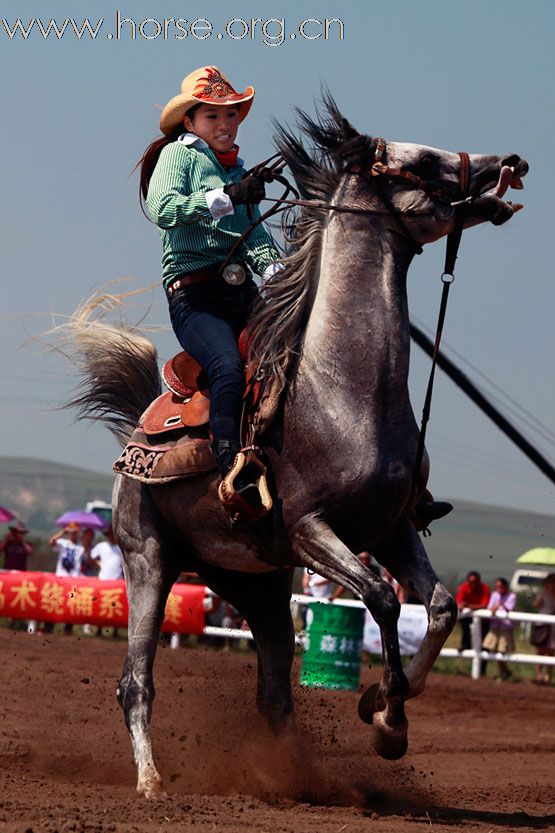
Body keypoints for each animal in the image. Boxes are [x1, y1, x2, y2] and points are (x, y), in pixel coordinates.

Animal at [63, 99, 528, 800]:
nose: (511, 163)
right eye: (423, 159)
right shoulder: (313, 530)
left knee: (275, 690)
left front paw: (381, 710)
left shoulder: (390, 527)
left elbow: (441, 607)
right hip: (148, 561)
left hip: (258, 585)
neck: (344, 391)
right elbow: (383, 598)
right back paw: (151, 780)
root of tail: (136, 440)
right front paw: (386, 717)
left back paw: (293, 775)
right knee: (135, 682)